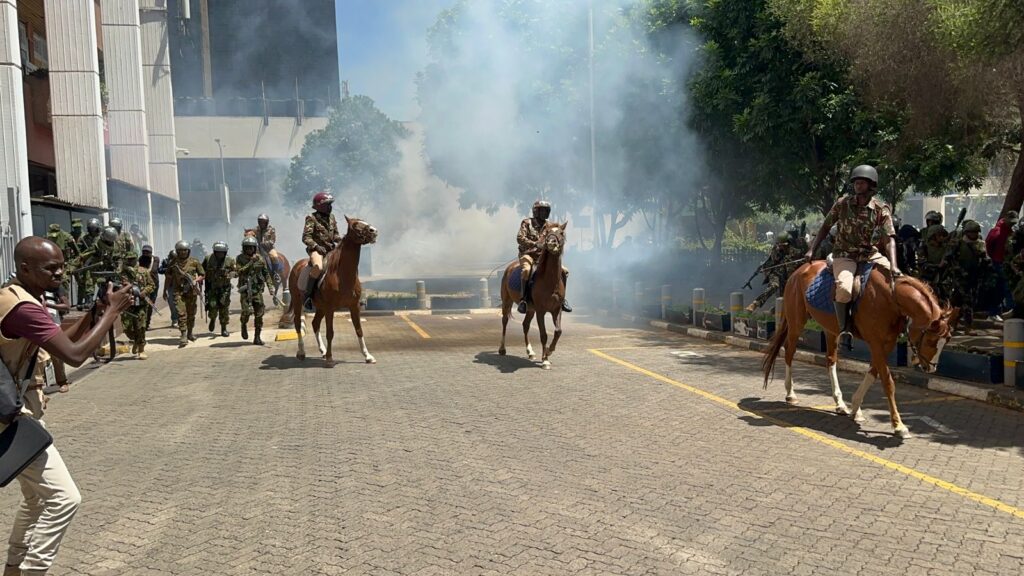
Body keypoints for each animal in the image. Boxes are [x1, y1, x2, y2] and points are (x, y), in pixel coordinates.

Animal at [286, 215, 378, 366]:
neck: (342, 275)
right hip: (298, 302)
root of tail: (297, 265)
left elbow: (359, 330)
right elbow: (330, 332)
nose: (374, 231)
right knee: (298, 324)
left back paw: (322, 350)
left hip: (320, 307)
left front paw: (368, 356)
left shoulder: (354, 306)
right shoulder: (330, 308)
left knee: (315, 324)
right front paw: (330, 358)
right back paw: (302, 352)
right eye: (355, 225)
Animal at [497, 219, 569, 366]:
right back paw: (502, 349)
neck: (550, 280)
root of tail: (509, 268)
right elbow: (543, 334)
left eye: (561, 232)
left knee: (525, 325)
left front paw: (549, 351)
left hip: (530, 309)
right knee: (505, 321)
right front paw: (545, 360)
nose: (551, 243)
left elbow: (558, 331)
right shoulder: (541, 311)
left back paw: (530, 352)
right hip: (507, 302)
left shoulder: (556, 309)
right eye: (548, 232)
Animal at [765, 262, 954, 436]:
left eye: (946, 340)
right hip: (796, 322)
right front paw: (898, 425)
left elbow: (873, 373)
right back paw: (791, 394)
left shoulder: (887, 344)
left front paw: (855, 408)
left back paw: (840, 404)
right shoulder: (876, 343)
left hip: (830, 330)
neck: (890, 298)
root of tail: (799, 270)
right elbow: (887, 382)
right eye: (930, 340)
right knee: (789, 352)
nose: (931, 367)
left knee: (830, 360)